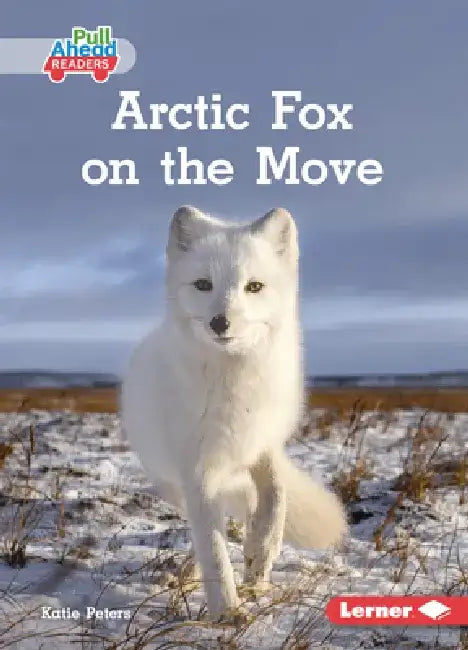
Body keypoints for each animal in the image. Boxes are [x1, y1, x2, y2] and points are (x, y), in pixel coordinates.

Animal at [121, 205, 347, 619]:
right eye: (203, 285)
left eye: (253, 287)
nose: (220, 322)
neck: (234, 381)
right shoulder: (197, 470)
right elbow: (213, 547)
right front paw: (226, 612)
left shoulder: (261, 442)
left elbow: (275, 497)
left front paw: (261, 557)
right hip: (173, 483)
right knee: (210, 527)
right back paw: (192, 574)